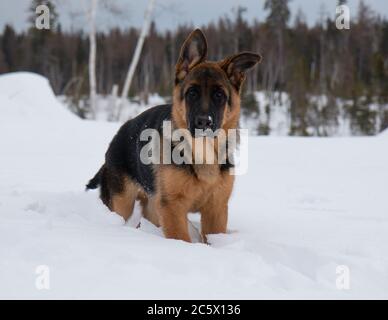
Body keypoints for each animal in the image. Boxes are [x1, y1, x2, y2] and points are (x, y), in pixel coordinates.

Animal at [86, 29, 262, 242]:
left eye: (219, 95)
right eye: (192, 93)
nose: (204, 122)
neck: (202, 151)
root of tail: (117, 137)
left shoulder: (216, 209)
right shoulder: (173, 207)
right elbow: (181, 239)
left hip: (153, 207)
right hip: (121, 203)